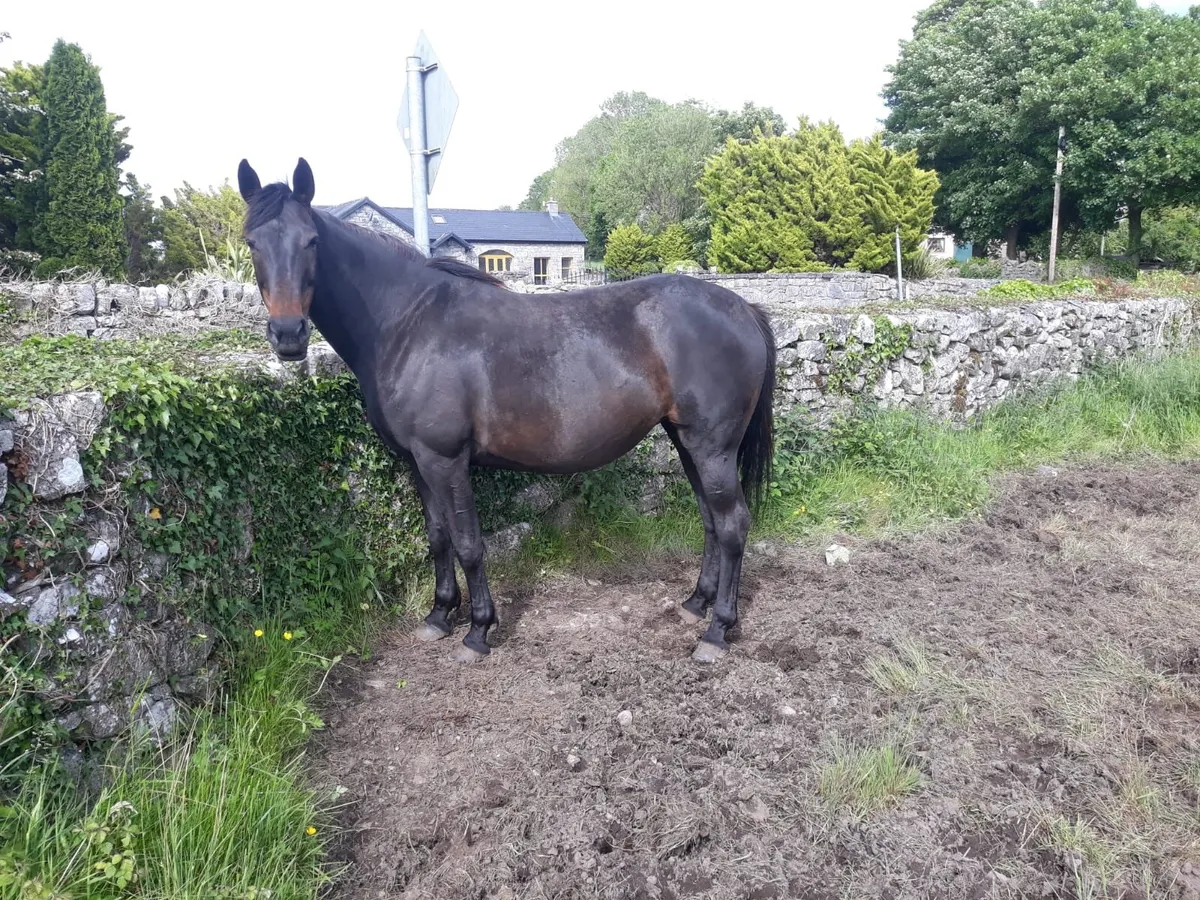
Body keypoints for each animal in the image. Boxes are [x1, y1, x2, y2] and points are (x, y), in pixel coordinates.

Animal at [236, 157, 775, 664]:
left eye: (311, 241)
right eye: (251, 243)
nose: (288, 335)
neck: (408, 324)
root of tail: (744, 309)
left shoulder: (445, 460)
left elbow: (469, 543)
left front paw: (477, 631)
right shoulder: (417, 462)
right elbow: (438, 537)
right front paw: (438, 615)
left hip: (711, 447)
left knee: (732, 524)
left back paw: (717, 630)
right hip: (686, 440)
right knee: (710, 519)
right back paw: (695, 603)